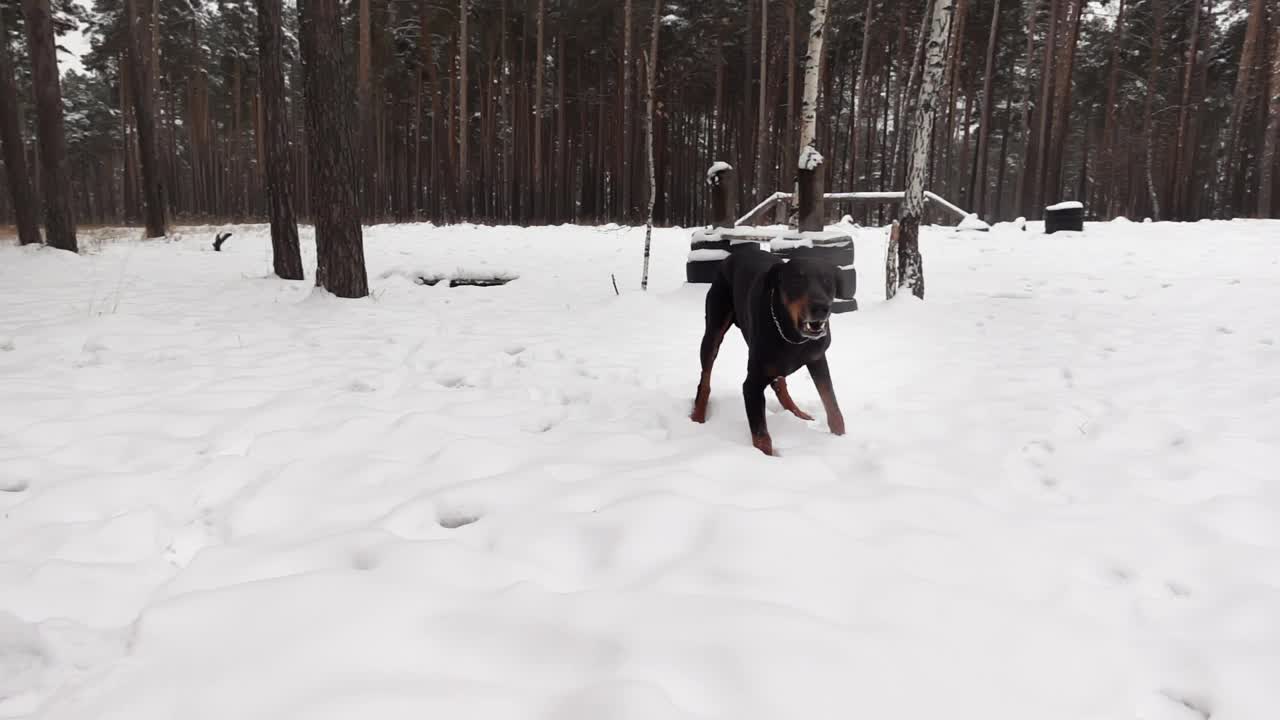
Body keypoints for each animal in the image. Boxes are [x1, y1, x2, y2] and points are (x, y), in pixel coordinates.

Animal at [686, 245, 844, 453]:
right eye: (797, 279)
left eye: (827, 280)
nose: (821, 307)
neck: (793, 336)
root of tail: (735, 255)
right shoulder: (752, 385)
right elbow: (761, 437)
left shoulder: (817, 358)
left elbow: (832, 404)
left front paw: (841, 438)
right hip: (714, 329)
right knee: (705, 379)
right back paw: (698, 415)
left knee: (779, 383)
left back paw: (797, 412)